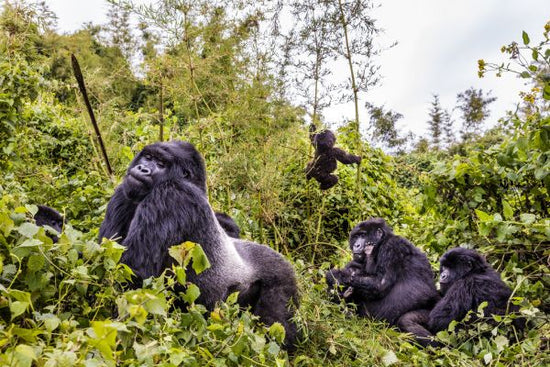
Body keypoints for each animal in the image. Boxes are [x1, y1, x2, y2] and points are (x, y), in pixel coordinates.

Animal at [97, 142, 300, 350]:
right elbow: (106, 257)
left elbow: (133, 270)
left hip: (282, 278)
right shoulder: (125, 190)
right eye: (148, 157)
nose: (143, 168)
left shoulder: (172, 193)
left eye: (161, 164)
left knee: (279, 328)